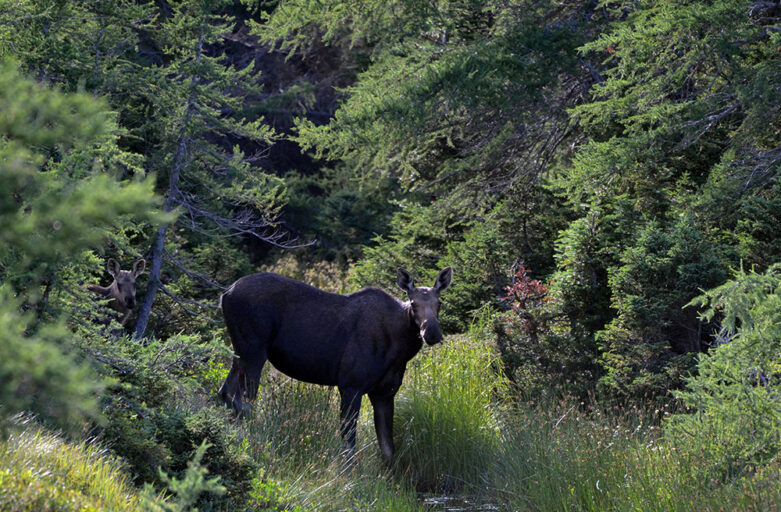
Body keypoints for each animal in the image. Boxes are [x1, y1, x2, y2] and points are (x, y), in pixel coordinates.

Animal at [218, 266, 450, 462]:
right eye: (413, 304)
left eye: (439, 303)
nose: (432, 333)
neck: (400, 350)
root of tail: (225, 293)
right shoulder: (350, 385)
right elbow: (348, 443)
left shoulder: (384, 393)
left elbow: (387, 450)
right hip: (253, 352)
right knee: (244, 403)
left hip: (240, 354)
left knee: (226, 393)